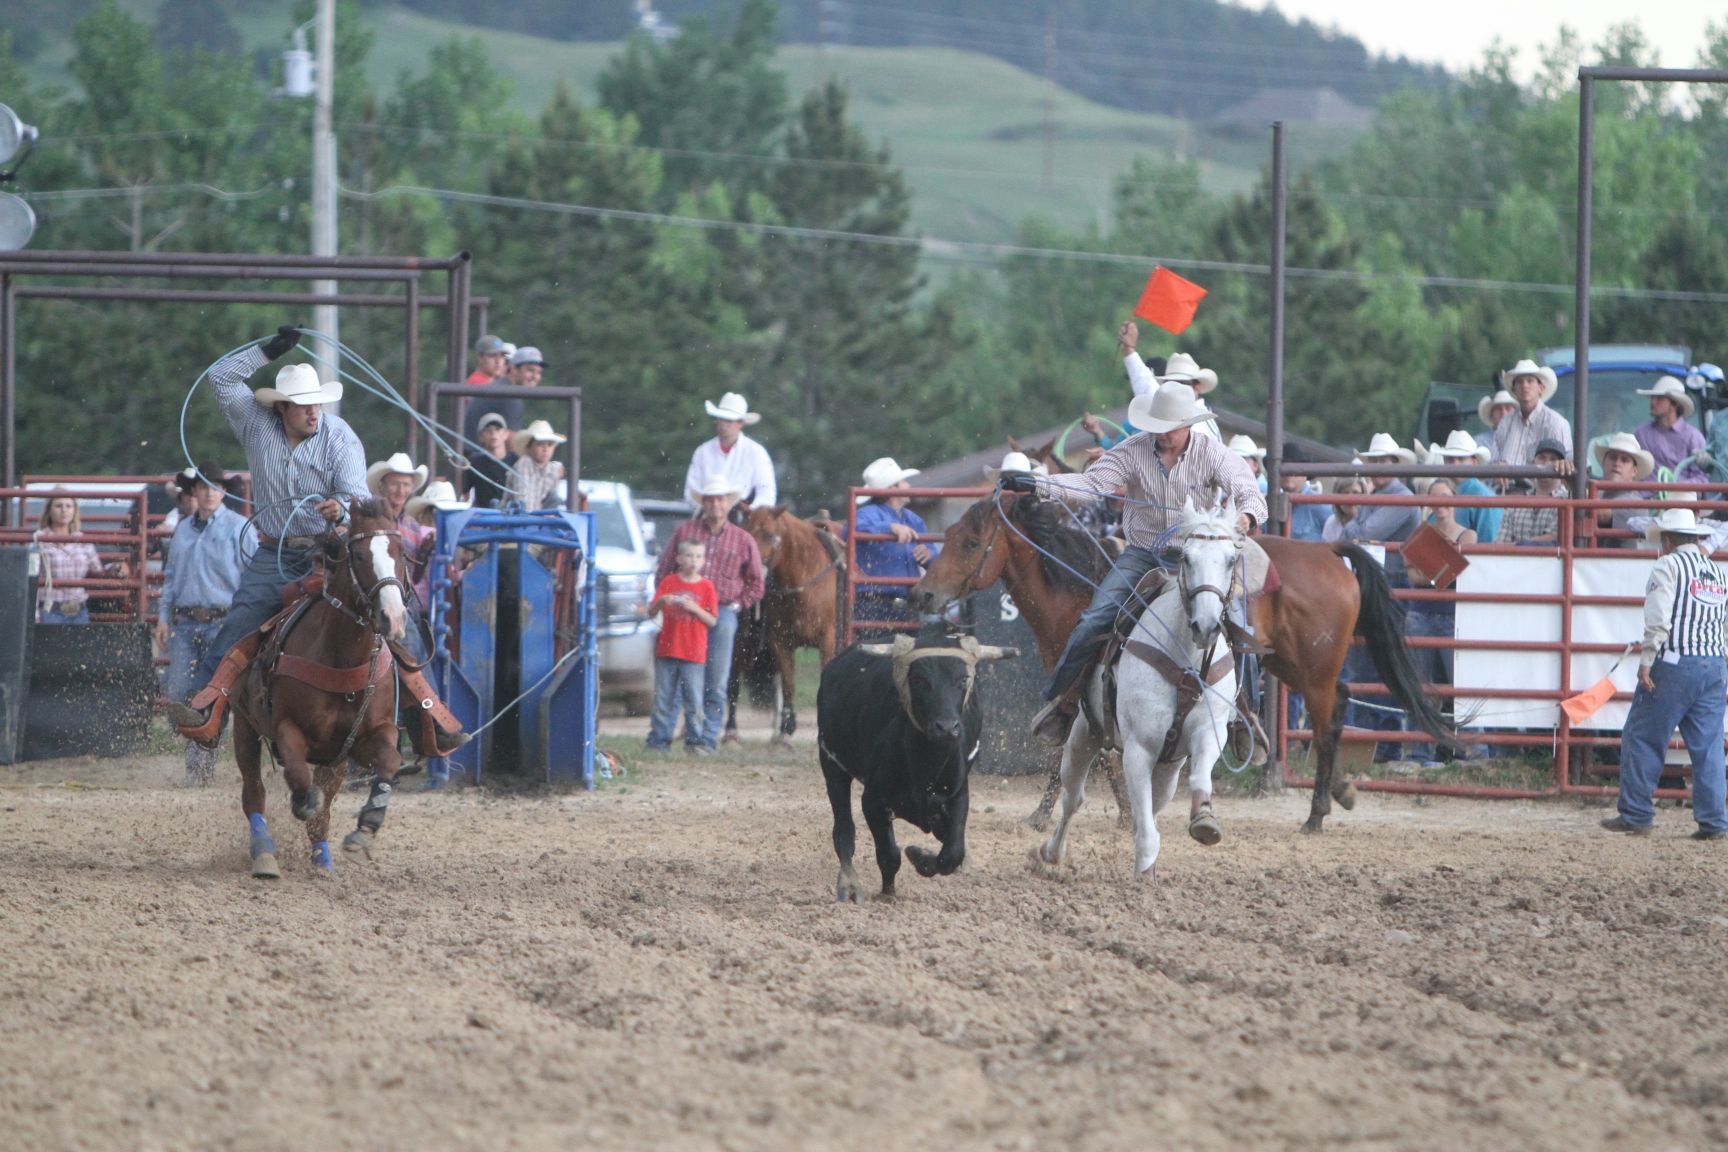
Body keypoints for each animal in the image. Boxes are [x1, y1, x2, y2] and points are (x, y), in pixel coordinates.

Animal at [229, 500, 411, 877]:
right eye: (358, 555)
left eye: (402, 552)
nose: (393, 617)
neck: (341, 656)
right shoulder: (286, 728)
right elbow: (298, 774)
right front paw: (303, 802)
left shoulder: (368, 736)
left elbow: (389, 760)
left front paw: (365, 829)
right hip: (244, 727)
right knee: (254, 793)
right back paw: (264, 853)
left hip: (334, 759)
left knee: (324, 808)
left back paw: (322, 858)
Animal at [743, 507, 843, 742]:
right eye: (746, 531)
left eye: (769, 534)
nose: (750, 567)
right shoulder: (780, 640)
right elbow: (788, 681)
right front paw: (787, 724)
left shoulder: (828, 639)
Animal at [905, 490, 1458, 832]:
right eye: (948, 535)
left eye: (970, 542)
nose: (923, 594)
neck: (1079, 589)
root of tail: (1331, 553)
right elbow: (1093, 752)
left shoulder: (1085, 685)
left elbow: (1091, 754)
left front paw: (1104, 813)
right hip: (1297, 666)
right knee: (1341, 707)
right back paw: (1341, 791)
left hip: (1313, 669)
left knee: (1325, 727)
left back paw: (1316, 814)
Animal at [1036, 497, 1244, 884]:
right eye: (1186, 558)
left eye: (1230, 559)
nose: (1206, 626)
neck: (1186, 659)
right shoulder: (1138, 748)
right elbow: (1142, 821)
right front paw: (1145, 873)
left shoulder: (1208, 732)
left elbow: (1198, 776)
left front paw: (1204, 821)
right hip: (1084, 735)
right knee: (1074, 797)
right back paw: (1050, 852)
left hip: (1167, 768)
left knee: (1152, 805)